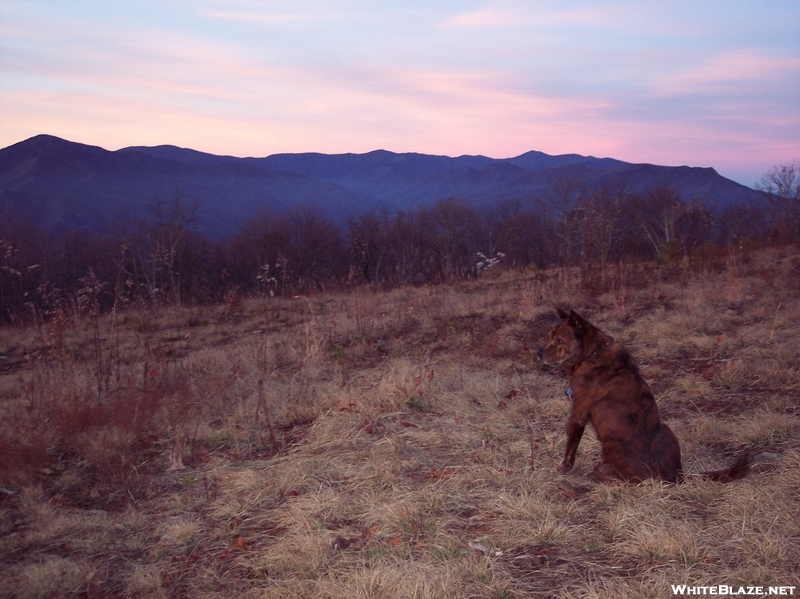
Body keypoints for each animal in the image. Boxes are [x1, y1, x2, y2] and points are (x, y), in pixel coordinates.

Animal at [536, 310, 752, 482]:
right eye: (548, 337)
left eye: (559, 341)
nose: (538, 352)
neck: (592, 353)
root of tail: (676, 476)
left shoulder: (578, 414)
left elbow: (570, 446)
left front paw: (563, 468)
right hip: (666, 428)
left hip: (603, 468)